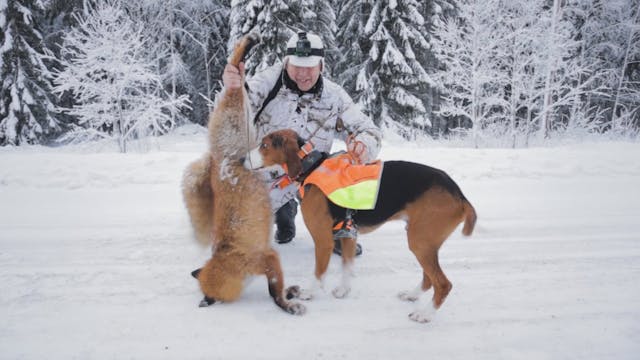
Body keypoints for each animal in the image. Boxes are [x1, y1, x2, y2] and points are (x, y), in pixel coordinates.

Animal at [180, 35, 304, 316]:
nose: (207, 300)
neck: (230, 259)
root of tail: (217, 158)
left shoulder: (267, 259)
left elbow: (273, 293)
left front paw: (286, 305)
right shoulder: (267, 259)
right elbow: (280, 289)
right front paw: (292, 292)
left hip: (237, 113)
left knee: (234, 63)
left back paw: (248, 44)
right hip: (250, 147)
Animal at [244, 128, 476, 322]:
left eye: (264, 145)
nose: (241, 158)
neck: (311, 166)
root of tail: (460, 196)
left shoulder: (323, 241)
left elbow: (319, 273)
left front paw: (310, 293)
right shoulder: (348, 234)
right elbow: (347, 265)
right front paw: (343, 290)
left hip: (420, 242)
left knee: (443, 284)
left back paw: (425, 314)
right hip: (424, 243)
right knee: (429, 279)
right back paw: (412, 295)